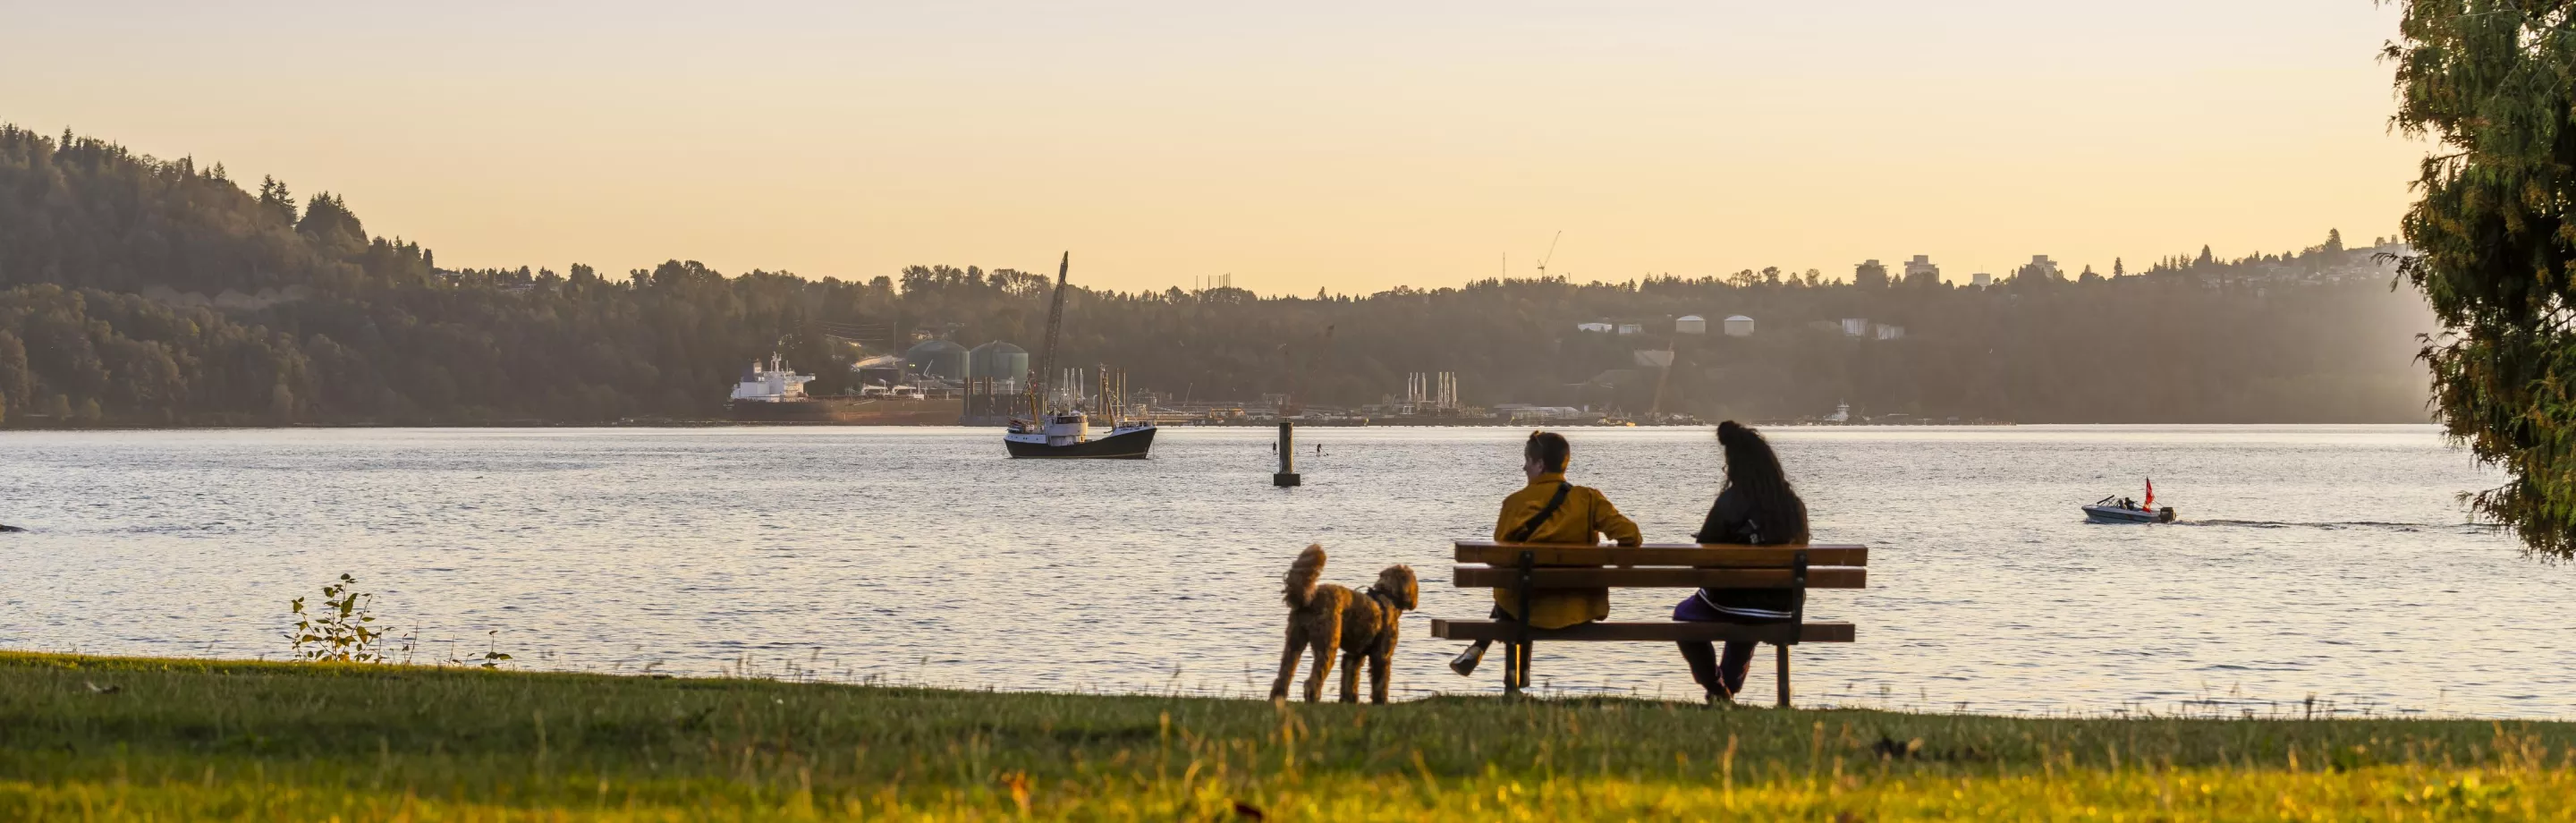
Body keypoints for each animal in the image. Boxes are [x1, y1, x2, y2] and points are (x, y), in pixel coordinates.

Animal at [1262, 547, 1421, 701]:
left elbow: (1350, 681)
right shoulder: (1382, 655)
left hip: (1294, 641)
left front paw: (1349, 700)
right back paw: (1313, 699)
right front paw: (1381, 702)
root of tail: (1310, 598)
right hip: (1327, 643)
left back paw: (1278, 698)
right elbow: (1381, 683)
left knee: (1283, 676)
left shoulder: (1353, 655)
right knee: (1312, 681)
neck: (1386, 597)